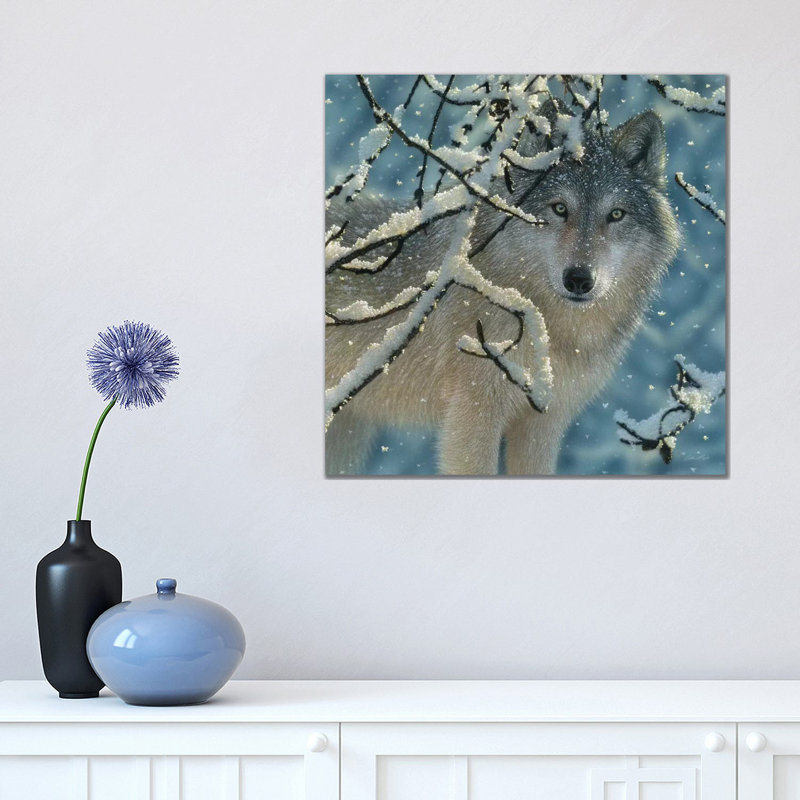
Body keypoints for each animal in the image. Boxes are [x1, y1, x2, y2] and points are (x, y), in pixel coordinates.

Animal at [325, 109, 680, 475]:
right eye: (559, 208)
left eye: (616, 215)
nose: (580, 280)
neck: (550, 328)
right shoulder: (474, 412)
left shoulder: (544, 422)